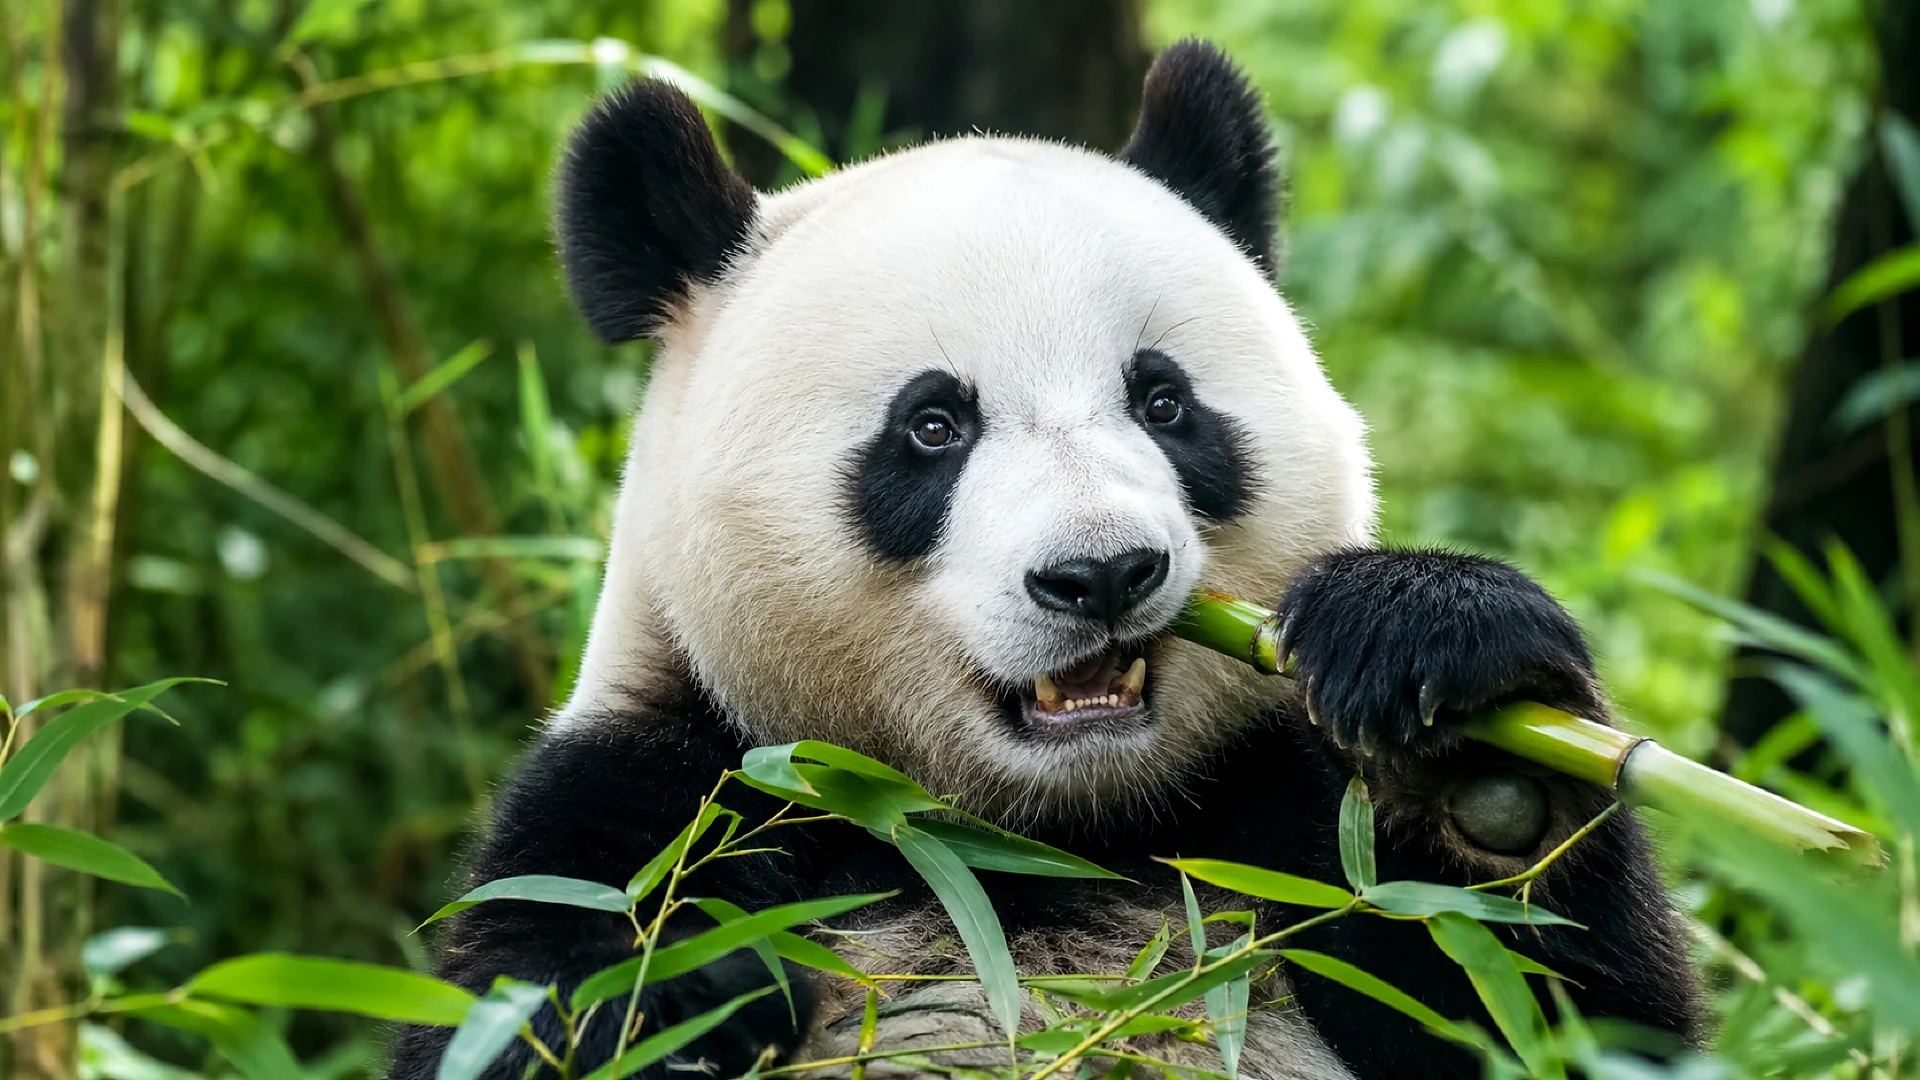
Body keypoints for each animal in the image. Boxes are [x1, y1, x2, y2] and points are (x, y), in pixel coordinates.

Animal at [390, 40, 1701, 1080]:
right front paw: (685, 994)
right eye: (932, 426)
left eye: (1165, 403)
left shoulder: (1282, 819)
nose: (1103, 575)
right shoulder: (671, 791)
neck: (1040, 837)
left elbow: (1561, 1014)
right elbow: (530, 992)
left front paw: (1470, 744)